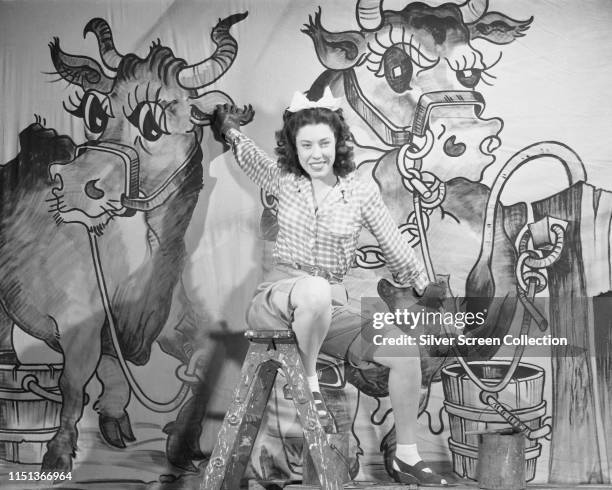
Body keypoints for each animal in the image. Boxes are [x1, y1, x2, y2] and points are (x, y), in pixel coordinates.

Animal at [0, 12, 251, 470]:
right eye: (95, 114)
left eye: (152, 123)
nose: (73, 183)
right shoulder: (78, 322)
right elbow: (74, 382)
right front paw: (59, 451)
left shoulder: (172, 320)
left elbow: (196, 365)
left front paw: (180, 439)